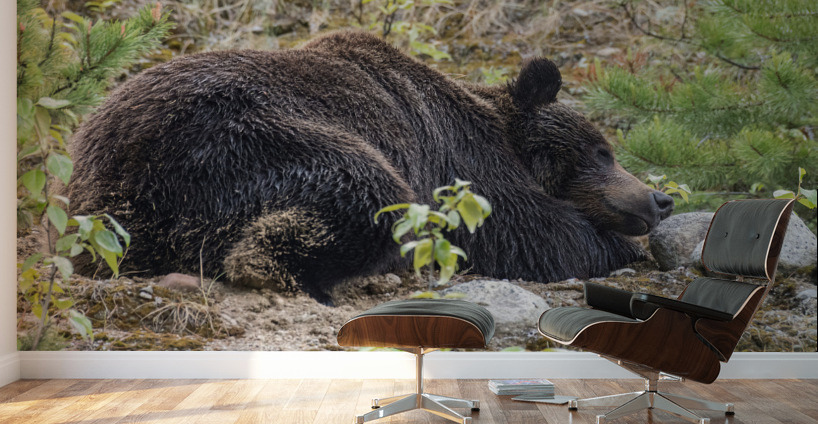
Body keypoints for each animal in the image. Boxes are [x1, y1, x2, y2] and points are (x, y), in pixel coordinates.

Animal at [68, 31, 674, 298]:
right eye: (602, 151)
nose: (659, 198)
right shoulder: (459, 162)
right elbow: (526, 232)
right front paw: (619, 247)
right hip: (237, 140)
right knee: (367, 193)